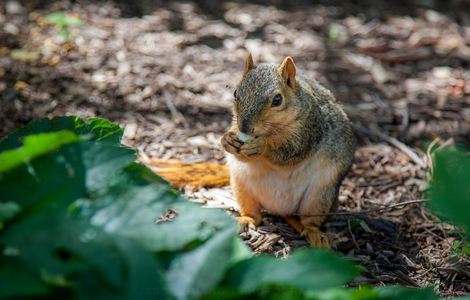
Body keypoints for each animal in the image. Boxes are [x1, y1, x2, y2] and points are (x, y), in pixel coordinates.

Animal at [221, 53, 356, 246]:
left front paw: (262, 146)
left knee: (310, 221)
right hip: (241, 185)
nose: (244, 128)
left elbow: (292, 152)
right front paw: (227, 139)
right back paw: (245, 220)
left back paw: (314, 234)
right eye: (235, 93)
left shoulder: (310, 129)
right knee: (254, 214)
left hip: (320, 195)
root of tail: (280, 209)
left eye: (277, 100)